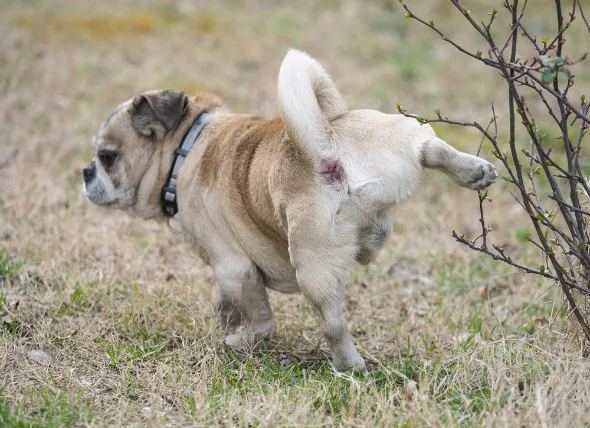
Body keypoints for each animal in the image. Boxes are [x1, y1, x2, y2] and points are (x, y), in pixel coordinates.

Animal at [84, 49, 500, 372]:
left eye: (107, 157)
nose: (86, 172)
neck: (188, 146)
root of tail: (325, 147)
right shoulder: (228, 273)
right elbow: (225, 298)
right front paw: (225, 315)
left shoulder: (234, 266)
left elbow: (261, 318)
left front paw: (241, 339)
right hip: (399, 133)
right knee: (431, 148)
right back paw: (473, 171)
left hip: (312, 265)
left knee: (333, 324)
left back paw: (348, 365)